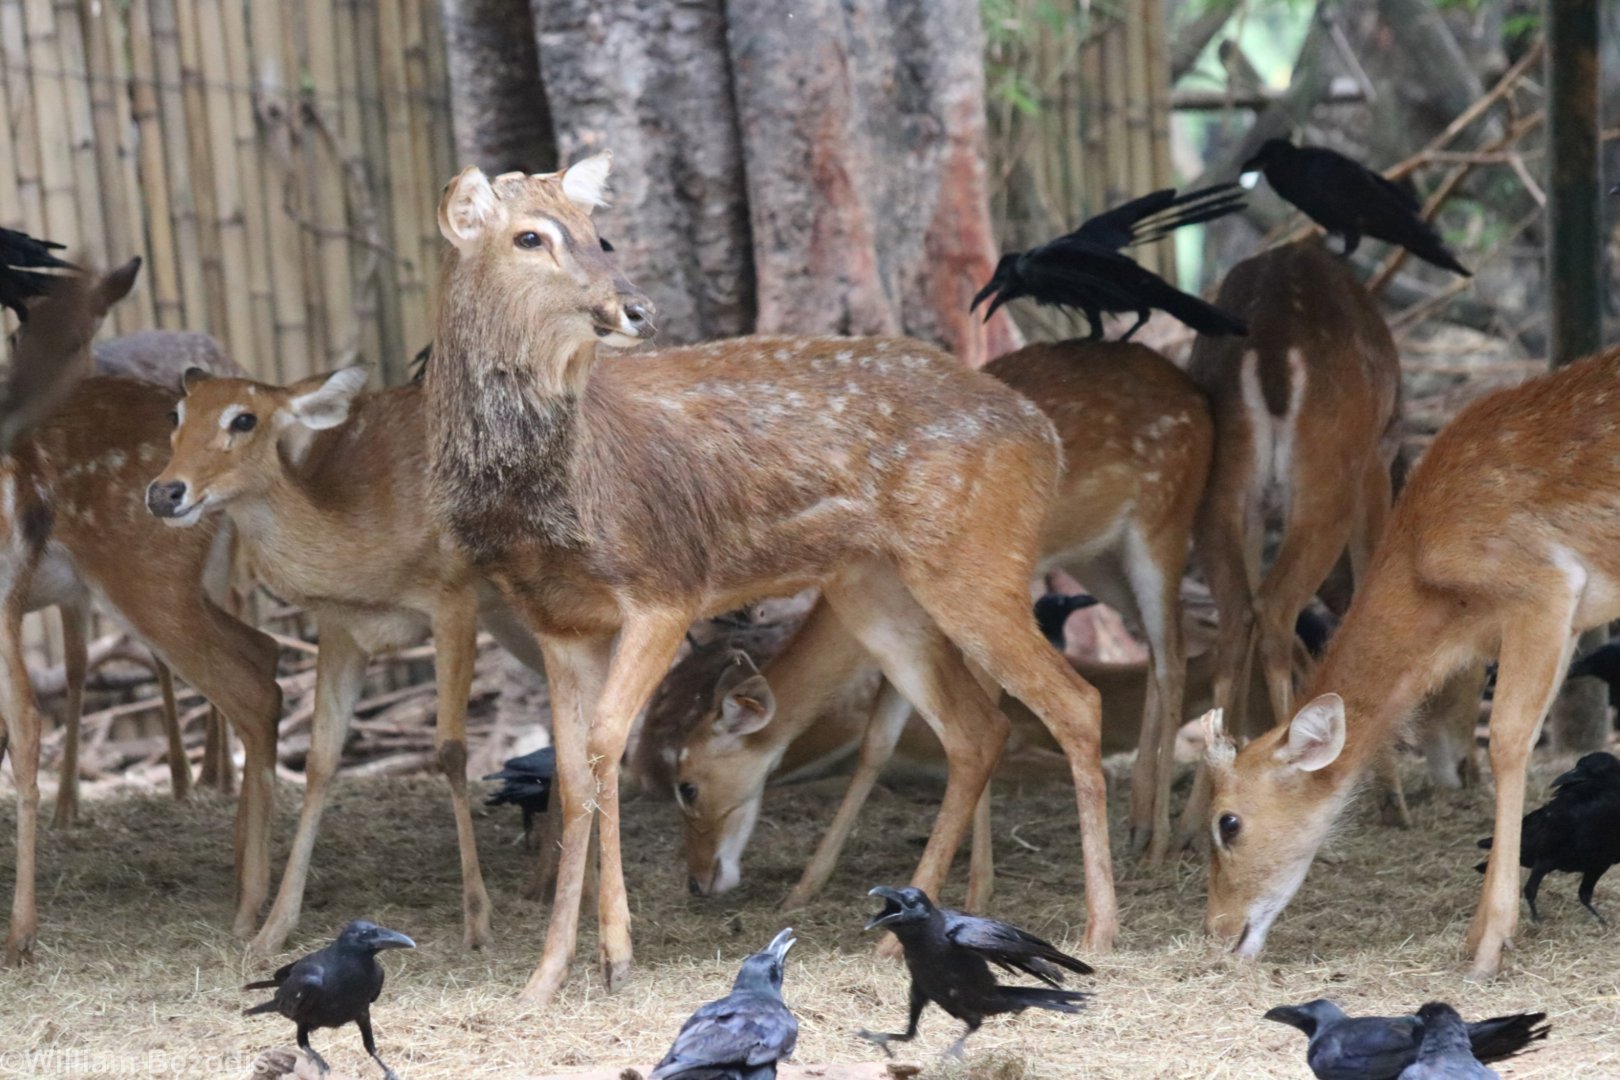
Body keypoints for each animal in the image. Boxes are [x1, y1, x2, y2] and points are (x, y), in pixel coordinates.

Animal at [147, 366, 549, 956]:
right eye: (175, 414)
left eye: (244, 419)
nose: (164, 492)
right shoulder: (338, 629)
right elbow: (320, 758)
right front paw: (270, 931)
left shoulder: (453, 600)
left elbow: (451, 750)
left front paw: (477, 923)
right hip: (516, 622)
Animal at [427, 157, 1119, 1004]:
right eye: (529, 236)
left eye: (598, 232)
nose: (635, 308)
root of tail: (1043, 437)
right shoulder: (560, 622)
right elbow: (570, 767)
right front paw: (550, 973)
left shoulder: (665, 585)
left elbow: (604, 745)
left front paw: (616, 955)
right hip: (877, 590)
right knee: (975, 729)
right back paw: (895, 939)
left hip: (975, 557)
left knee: (1073, 703)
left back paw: (1099, 927)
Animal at [1204, 344, 1620, 978]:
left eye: (1228, 822)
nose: (1216, 931)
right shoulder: (1572, 618)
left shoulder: (1543, 584)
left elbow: (1507, 741)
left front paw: (1486, 947)